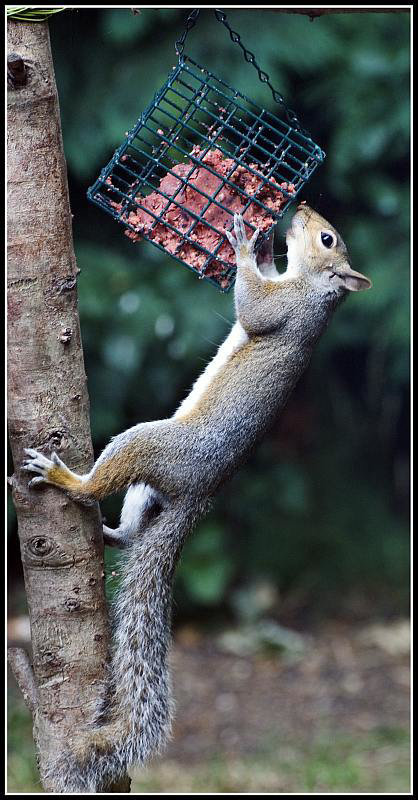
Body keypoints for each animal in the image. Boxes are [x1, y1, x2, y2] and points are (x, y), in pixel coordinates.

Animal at [22, 208, 370, 792]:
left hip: (148, 442)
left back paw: (67, 480)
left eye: (327, 239)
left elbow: (253, 305)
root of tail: (199, 497)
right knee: (132, 530)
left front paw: (243, 243)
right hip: (146, 489)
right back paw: (109, 532)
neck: (313, 291)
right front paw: (260, 241)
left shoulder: (286, 311)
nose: (297, 212)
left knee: (100, 482)